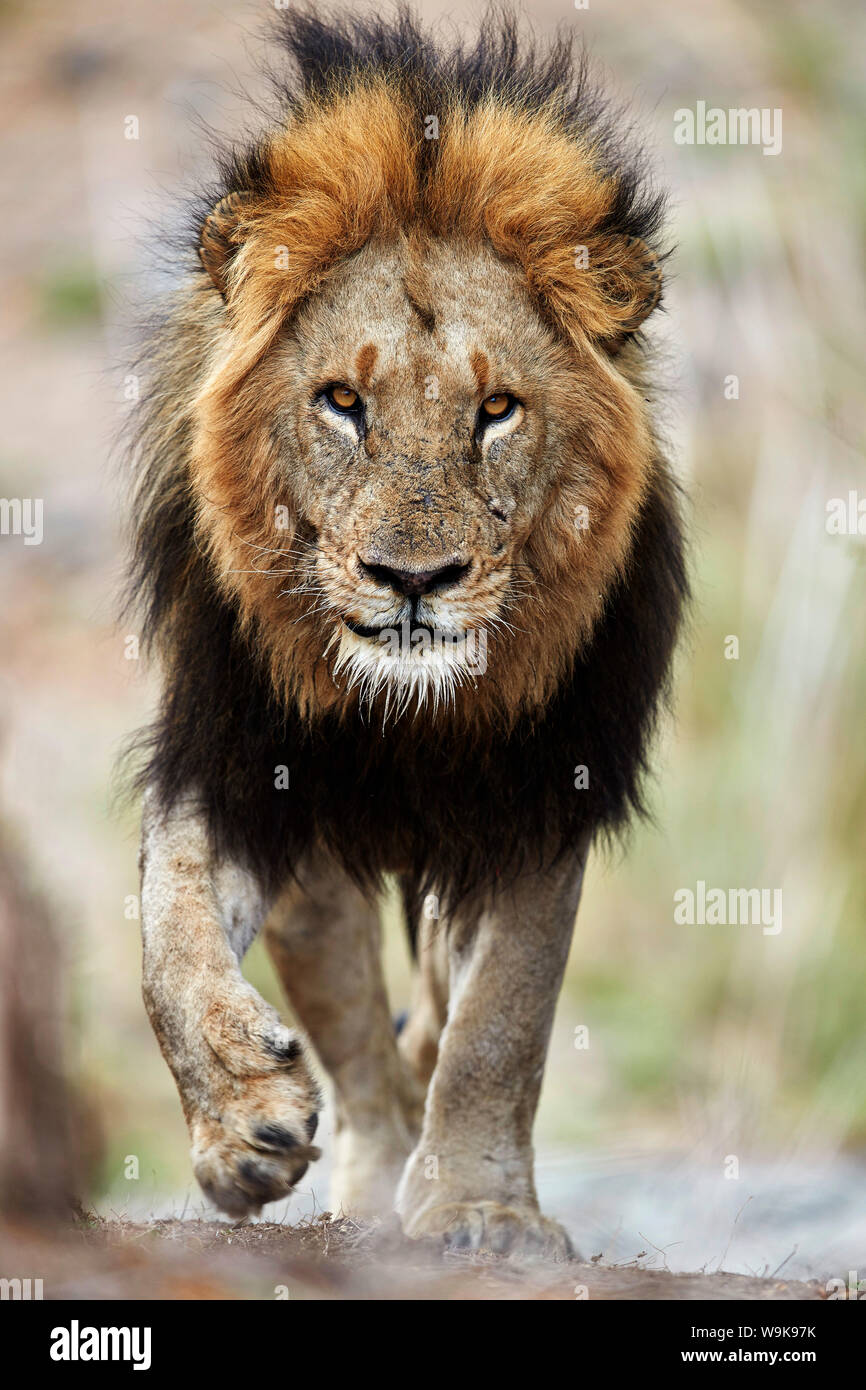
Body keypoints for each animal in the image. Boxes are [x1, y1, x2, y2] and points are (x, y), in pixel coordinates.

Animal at [127, 8, 687, 1259]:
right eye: (342, 401)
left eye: (496, 410)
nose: (414, 580)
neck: (406, 711)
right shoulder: (239, 756)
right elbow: (167, 928)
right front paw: (238, 1121)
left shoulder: (541, 790)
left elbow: (500, 1023)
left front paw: (484, 1208)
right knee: (358, 1056)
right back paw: (359, 1178)